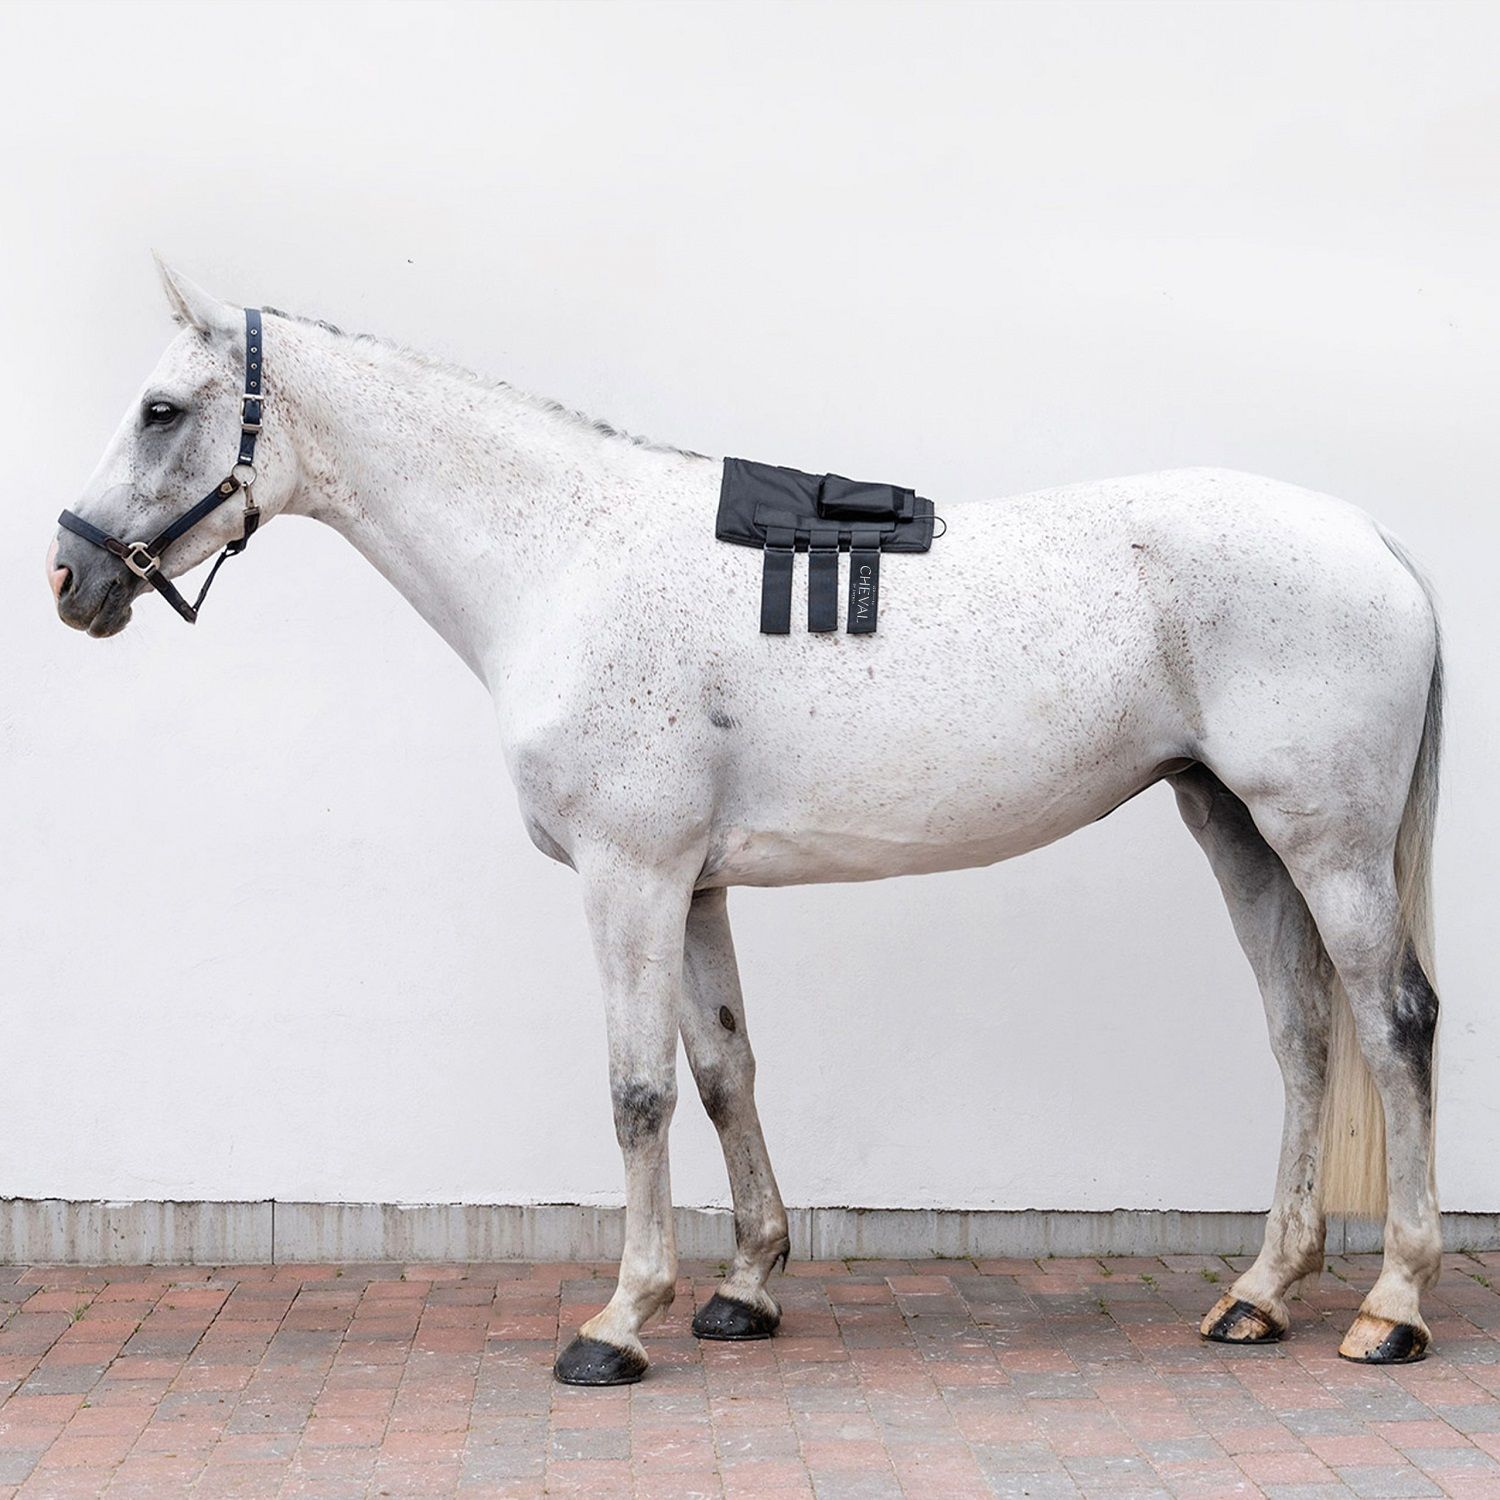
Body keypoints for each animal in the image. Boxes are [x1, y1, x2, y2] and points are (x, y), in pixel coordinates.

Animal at [47, 263, 1445, 1383]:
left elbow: (638, 1092)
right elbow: (725, 1071)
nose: (71, 575)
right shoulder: (696, 884)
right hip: (1237, 829)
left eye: (162, 410)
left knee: (1393, 1024)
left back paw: (1392, 1307)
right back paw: (1259, 1296)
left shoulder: (628, 876)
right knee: (1303, 1036)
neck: (564, 560)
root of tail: (1373, 539)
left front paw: (620, 1322)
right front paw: (746, 1287)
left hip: (1326, 843)